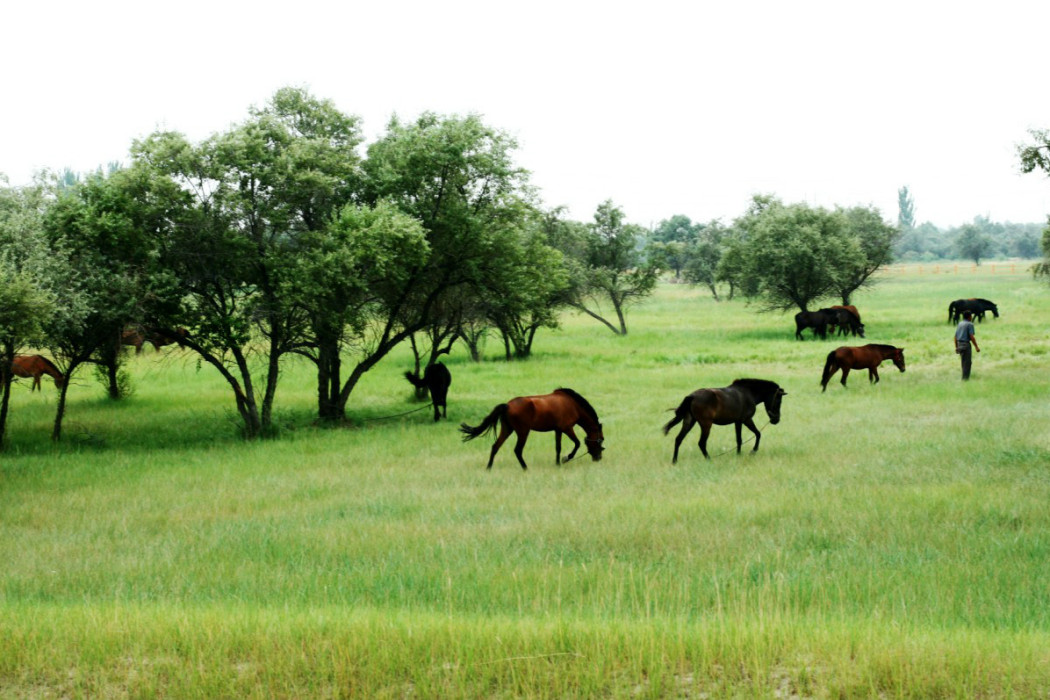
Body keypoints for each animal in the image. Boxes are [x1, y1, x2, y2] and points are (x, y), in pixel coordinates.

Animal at [461, 388, 609, 470]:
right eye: (601, 439)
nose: (598, 458)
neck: (573, 405)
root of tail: (507, 405)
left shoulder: (558, 430)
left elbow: (558, 447)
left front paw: (557, 463)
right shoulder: (567, 428)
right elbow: (577, 444)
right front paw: (566, 458)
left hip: (507, 429)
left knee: (495, 446)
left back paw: (489, 468)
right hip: (523, 432)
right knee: (517, 450)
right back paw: (525, 468)